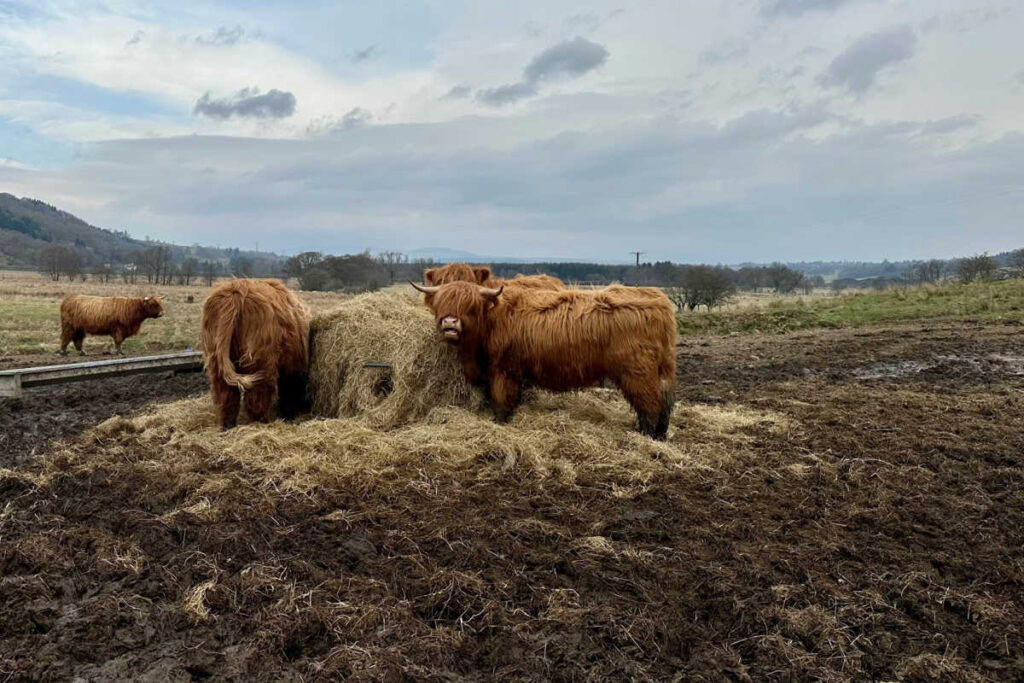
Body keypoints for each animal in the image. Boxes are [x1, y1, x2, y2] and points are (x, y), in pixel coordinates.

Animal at [199, 278, 311, 428]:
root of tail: (236, 291)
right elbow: (288, 393)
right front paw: (289, 415)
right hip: (260, 362)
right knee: (257, 399)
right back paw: (262, 423)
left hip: (216, 360)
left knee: (226, 398)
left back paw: (228, 426)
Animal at [411, 280, 675, 440]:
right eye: (441, 304)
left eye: (471, 305)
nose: (450, 323)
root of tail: (660, 301)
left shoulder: (504, 370)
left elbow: (501, 400)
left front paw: (500, 423)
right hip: (660, 371)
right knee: (664, 403)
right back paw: (660, 436)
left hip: (638, 373)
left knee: (650, 405)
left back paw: (645, 436)